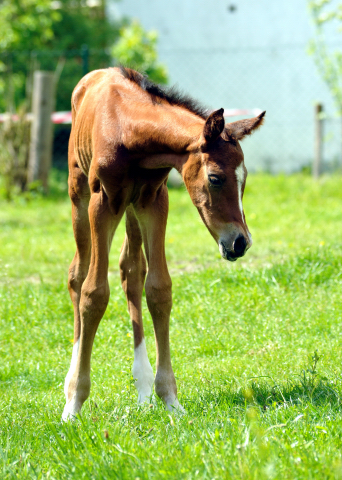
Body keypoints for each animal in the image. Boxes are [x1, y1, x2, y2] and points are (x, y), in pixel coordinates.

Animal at [62, 66, 264, 420]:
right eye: (215, 178)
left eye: (244, 179)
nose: (241, 243)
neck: (129, 131)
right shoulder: (102, 202)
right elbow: (93, 292)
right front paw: (74, 403)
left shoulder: (154, 200)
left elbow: (158, 290)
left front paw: (170, 399)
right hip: (80, 194)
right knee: (77, 274)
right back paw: (70, 385)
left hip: (131, 209)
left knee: (131, 272)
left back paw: (143, 389)